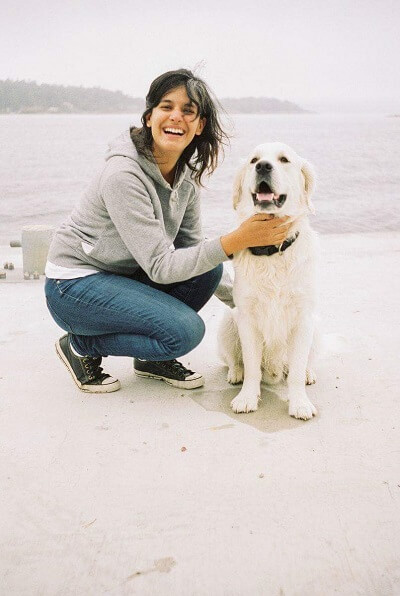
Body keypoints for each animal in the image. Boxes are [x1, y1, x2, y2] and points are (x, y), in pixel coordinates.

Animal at [219, 142, 318, 420]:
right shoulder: (248, 318)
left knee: (304, 363)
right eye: (254, 160)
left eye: (284, 159)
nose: (263, 166)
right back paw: (236, 373)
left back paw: (308, 374)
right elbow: (253, 368)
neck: (272, 251)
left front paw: (299, 403)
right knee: (234, 360)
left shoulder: (303, 317)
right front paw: (246, 398)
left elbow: (296, 369)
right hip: (228, 320)